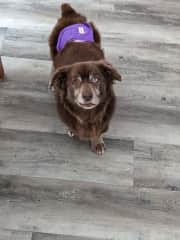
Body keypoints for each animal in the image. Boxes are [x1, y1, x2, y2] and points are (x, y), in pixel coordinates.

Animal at [48, 2, 121, 155]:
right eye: (75, 81)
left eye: (96, 79)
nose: (87, 96)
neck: (88, 114)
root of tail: (71, 14)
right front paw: (71, 130)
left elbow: (98, 131)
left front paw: (97, 142)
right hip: (53, 49)